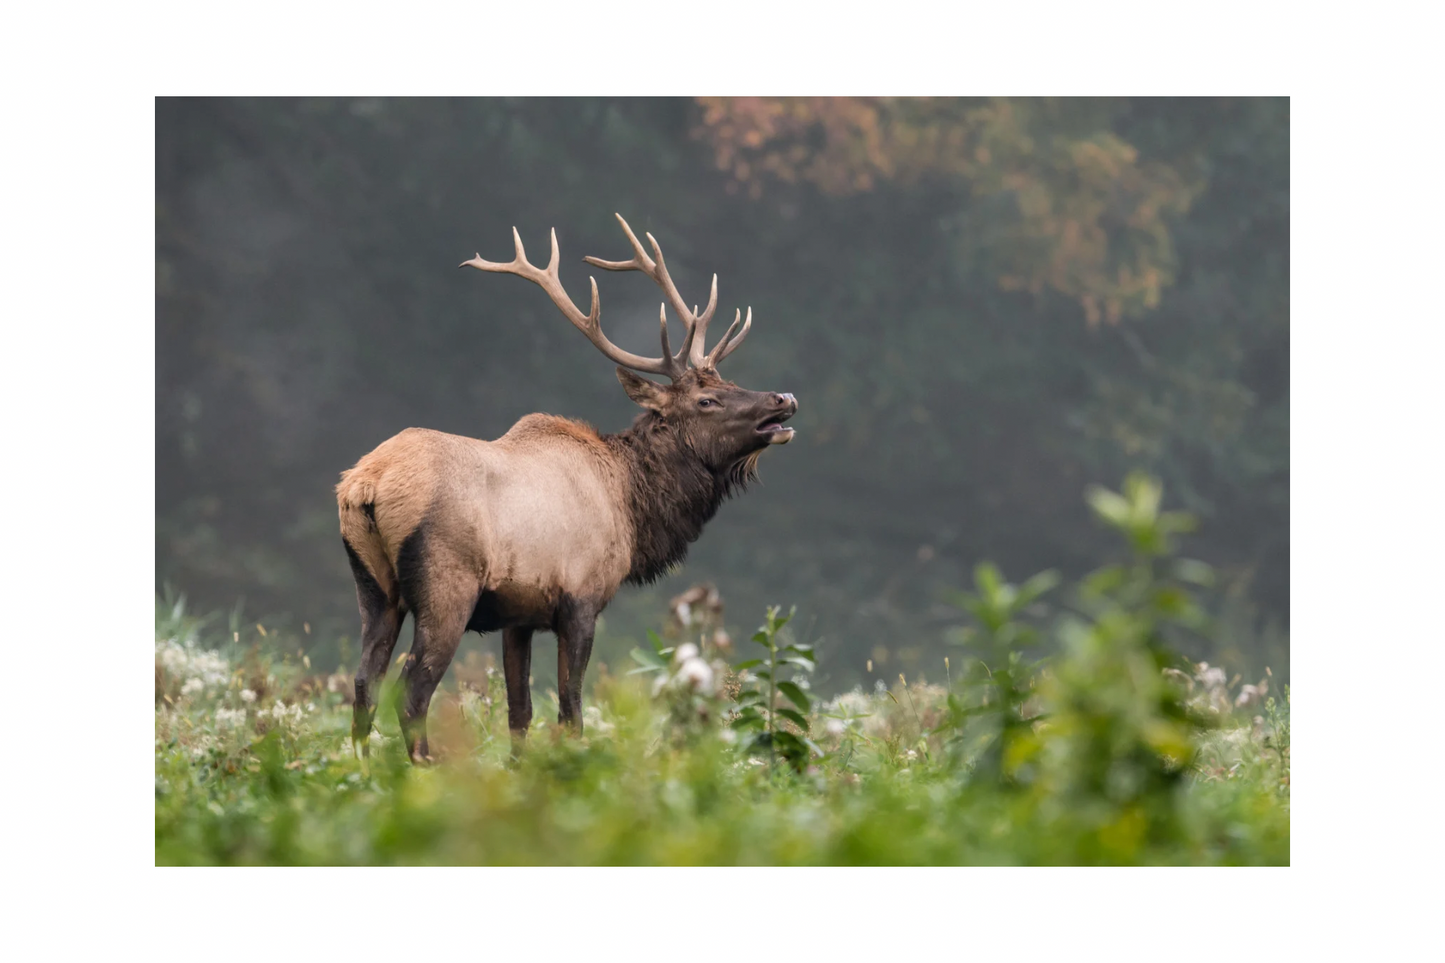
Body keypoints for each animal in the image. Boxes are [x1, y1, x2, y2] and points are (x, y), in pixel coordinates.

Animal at [336, 214, 798, 763]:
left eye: (728, 381)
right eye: (706, 400)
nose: (784, 397)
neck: (632, 506)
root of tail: (365, 484)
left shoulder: (517, 615)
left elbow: (519, 714)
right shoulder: (581, 598)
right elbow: (570, 711)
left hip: (374, 586)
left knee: (363, 683)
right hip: (446, 584)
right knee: (411, 691)